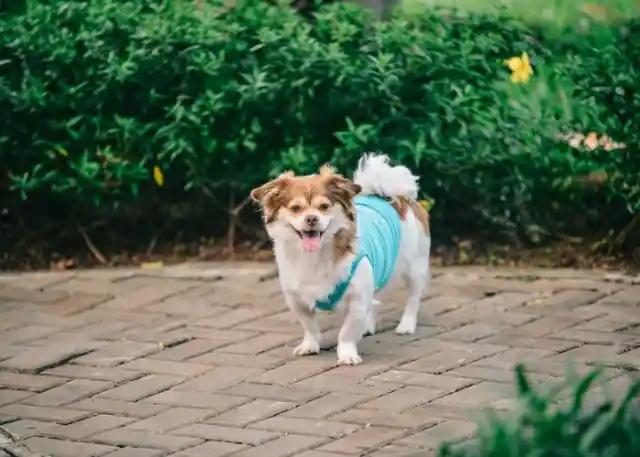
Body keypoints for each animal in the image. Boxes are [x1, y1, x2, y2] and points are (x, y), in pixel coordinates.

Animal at [250, 155, 430, 366]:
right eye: (296, 209)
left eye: (324, 207)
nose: (311, 218)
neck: (315, 256)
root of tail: (390, 197)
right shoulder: (296, 299)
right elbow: (309, 325)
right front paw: (310, 345)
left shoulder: (357, 298)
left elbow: (347, 332)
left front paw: (347, 354)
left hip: (414, 267)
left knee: (413, 298)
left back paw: (406, 325)